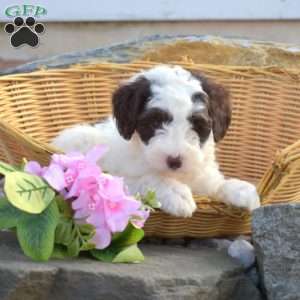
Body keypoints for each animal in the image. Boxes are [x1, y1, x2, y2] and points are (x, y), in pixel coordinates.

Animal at [52, 64, 260, 217]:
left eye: (197, 123)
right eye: (154, 122)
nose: (174, 161)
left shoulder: (201, 174)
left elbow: (214, 184)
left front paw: (240, 189)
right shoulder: (121, 178)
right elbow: (149, 178)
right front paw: (176, 193)